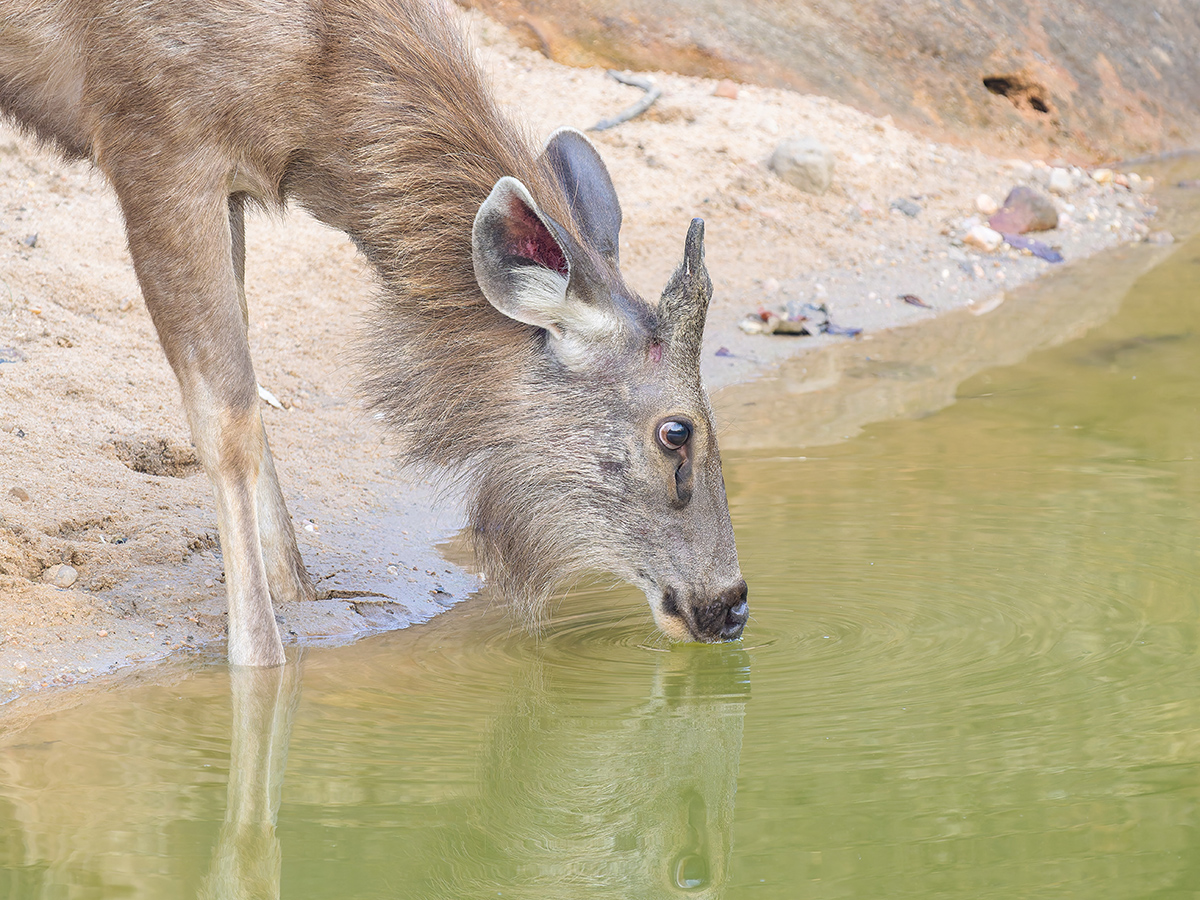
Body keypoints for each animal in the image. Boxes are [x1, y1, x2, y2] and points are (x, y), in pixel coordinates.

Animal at [0, 0, 748, 666]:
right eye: (676, 432)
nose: (731, 604)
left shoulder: (231, 180)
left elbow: (253, 396)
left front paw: (302, 595)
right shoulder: (154, 139)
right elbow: (227, 416)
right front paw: (258, 659)